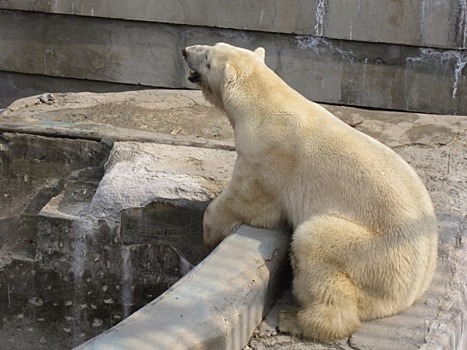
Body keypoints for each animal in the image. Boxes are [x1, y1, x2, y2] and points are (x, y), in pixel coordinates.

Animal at [182, 42, 438, 340]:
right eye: (212, 46)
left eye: (207, 57)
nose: (186, 51)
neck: (264, 103)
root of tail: (412, 290)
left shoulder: (265, 158)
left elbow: (245, 202)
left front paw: (209, 234)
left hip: (374, 253)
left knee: (313, 245)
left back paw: (293, 318)